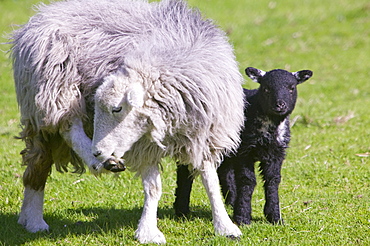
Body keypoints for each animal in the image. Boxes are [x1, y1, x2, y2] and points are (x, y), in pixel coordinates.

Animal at [9, 0, 246, 243]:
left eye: (117, 108)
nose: (98, 151)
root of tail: (42, 14)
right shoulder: (145, 145)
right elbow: (153, 188)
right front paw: (148, 231)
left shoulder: (204, 138)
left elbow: (211, 183)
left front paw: (225, 226)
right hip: (55, 87)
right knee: (67, 128)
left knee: (38, 163)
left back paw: (28, 218)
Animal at [173, 67, 312, 225]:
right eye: (266, 88)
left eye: (292, 88)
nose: (279, 105)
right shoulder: (245, 152)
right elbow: (247, 180)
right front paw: (243, 217)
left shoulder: (276, 153)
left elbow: (273, 180)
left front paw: (274, 217)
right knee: (184, 173)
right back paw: (181, 209)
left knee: (225, 172)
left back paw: (231, 202)